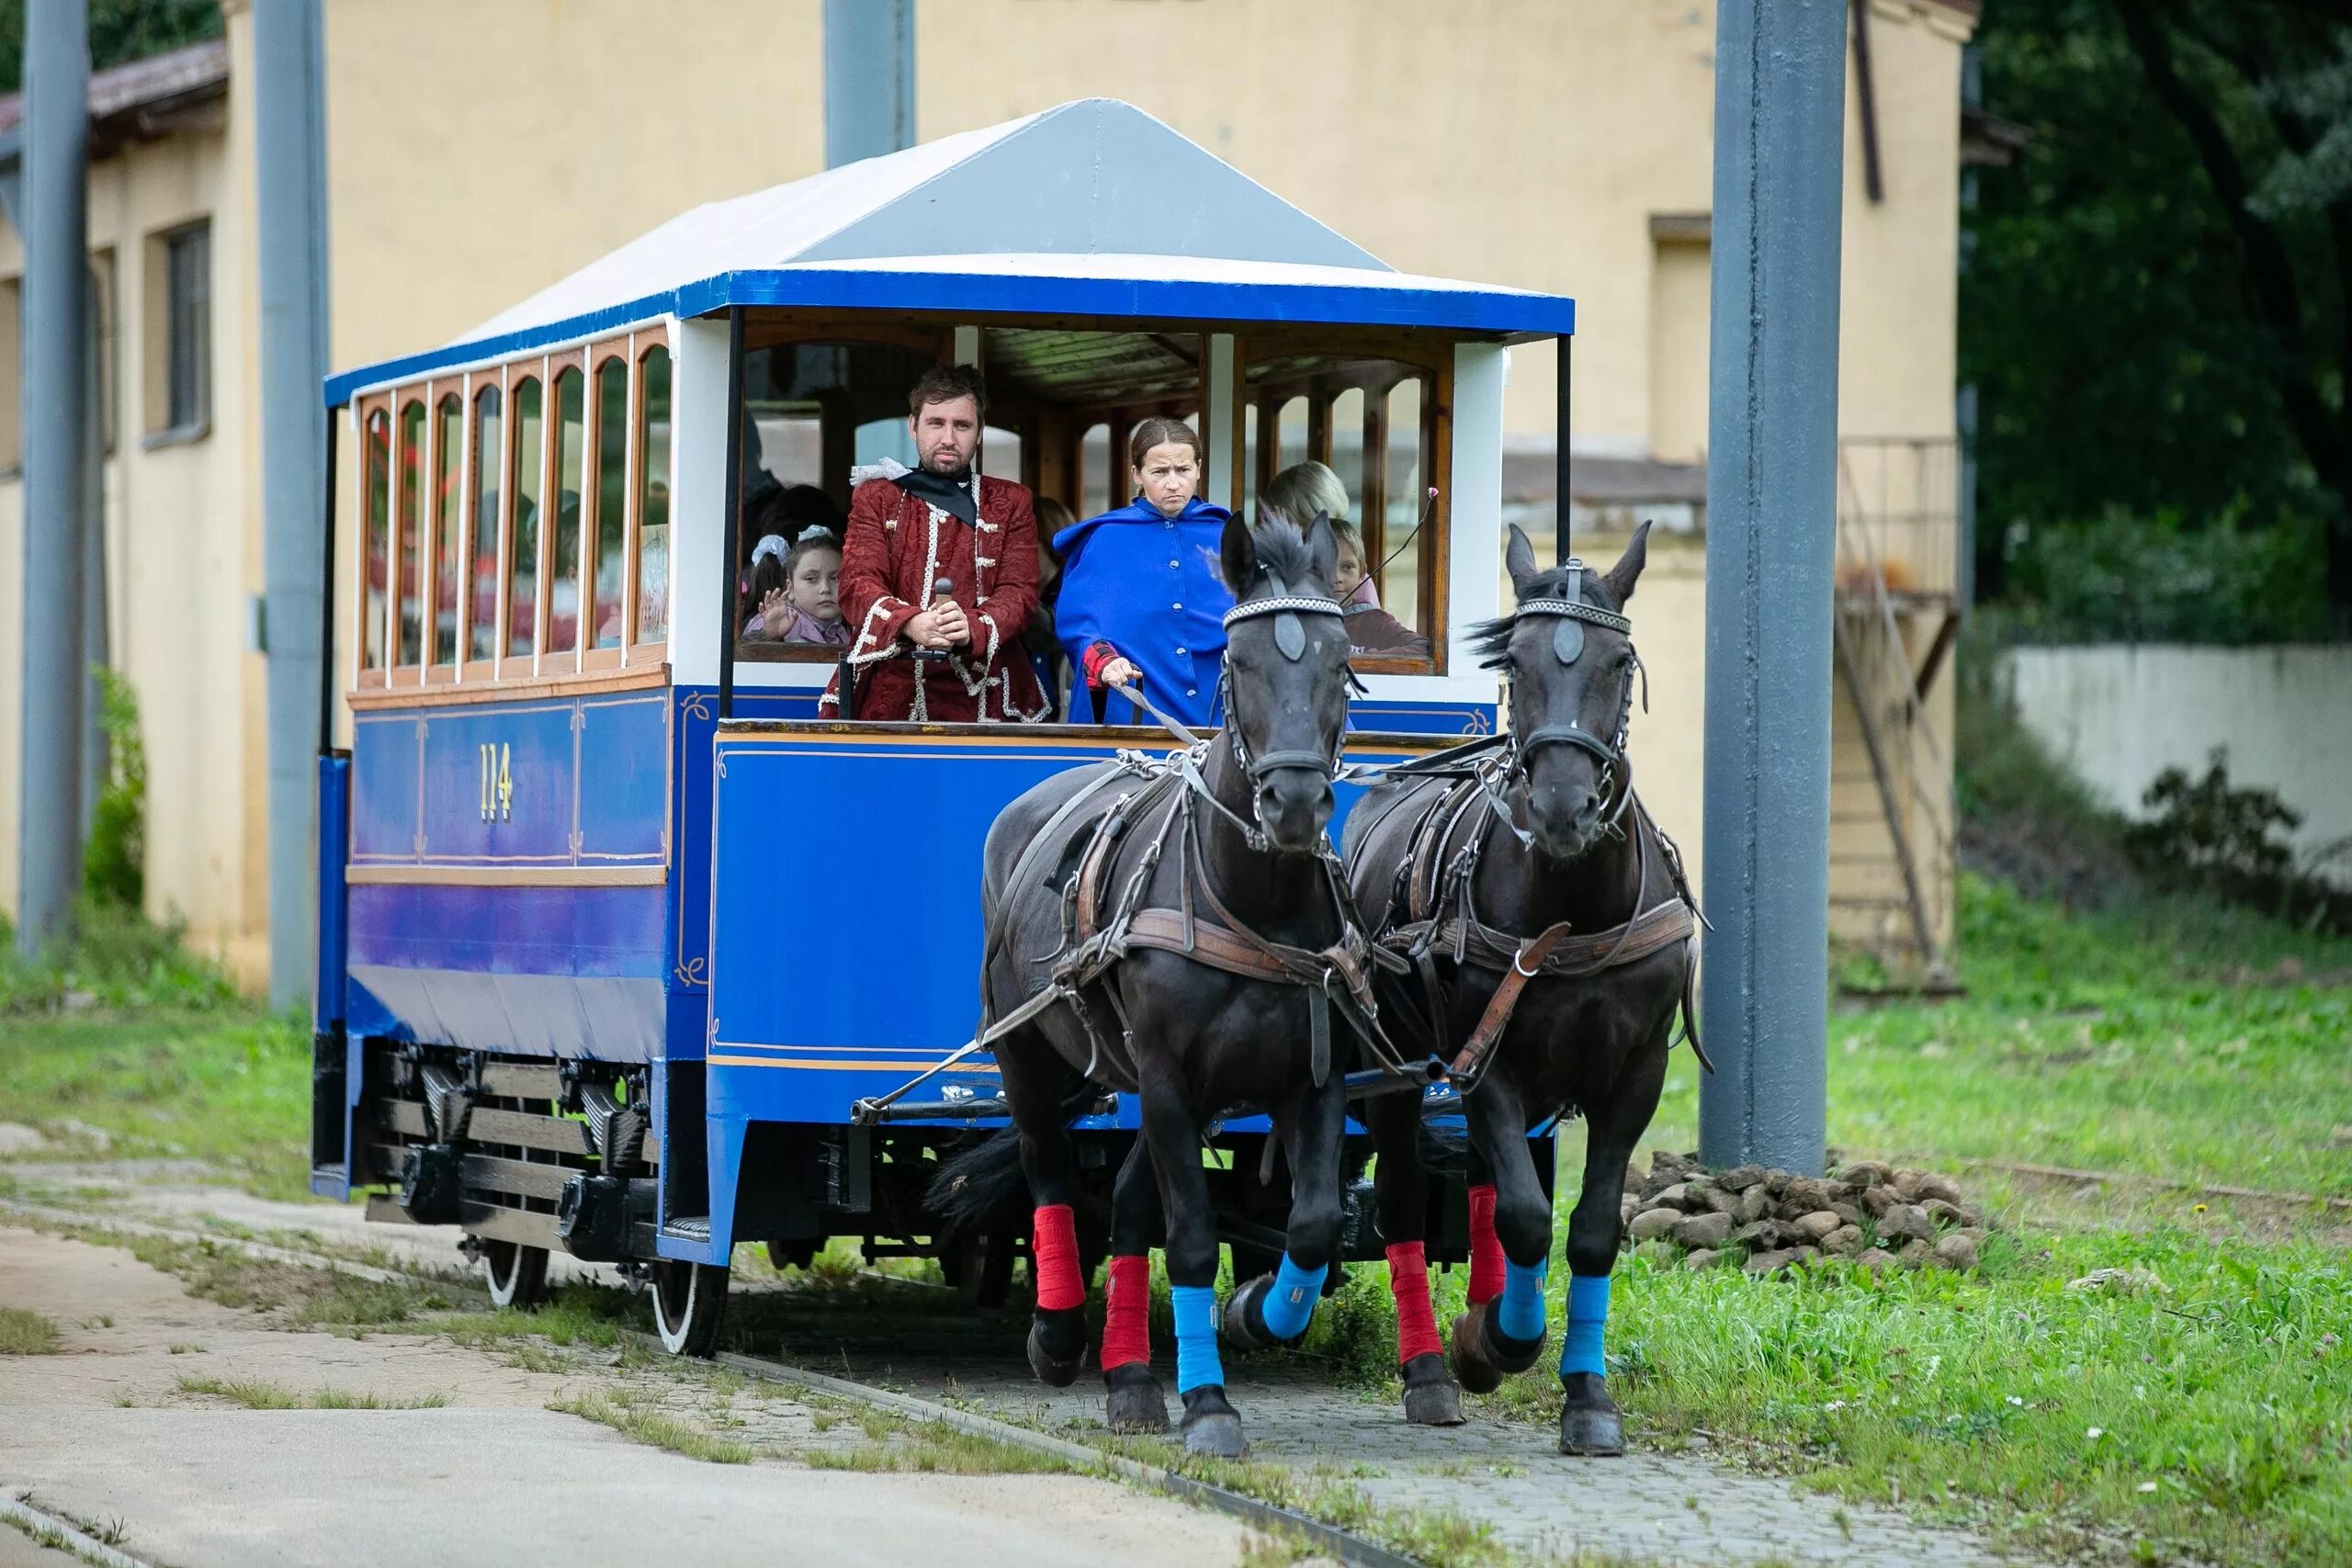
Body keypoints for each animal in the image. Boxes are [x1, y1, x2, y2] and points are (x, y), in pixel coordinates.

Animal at [950, 514, 1374, 1457]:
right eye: (1240, 661)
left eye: (1340, 661)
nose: (1295, 804)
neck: (1252, 900)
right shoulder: (1170, 1079)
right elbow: (1190, 1238)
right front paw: (1210, 1404)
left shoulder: (1311, 1078)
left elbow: (1310, 1223)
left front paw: (1262, 1310)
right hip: (1028, 1051)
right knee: (1051, 1171)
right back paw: (1060, 1334)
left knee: (1129, 1203)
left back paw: (1133, 1376)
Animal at [1345, 526, 1693, 1457]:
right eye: (1516, 659)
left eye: (1618, 661)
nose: (1563, 808)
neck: (1573, 911)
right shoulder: (1489, 1068)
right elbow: (1529, 1218)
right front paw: (1497, 1340)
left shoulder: (1636, 1077)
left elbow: (1592, 1228)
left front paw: (1587, 1394)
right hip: (1395, 1072)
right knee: (1401, 1203)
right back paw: (1429, 1367)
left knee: (1472, 1185)